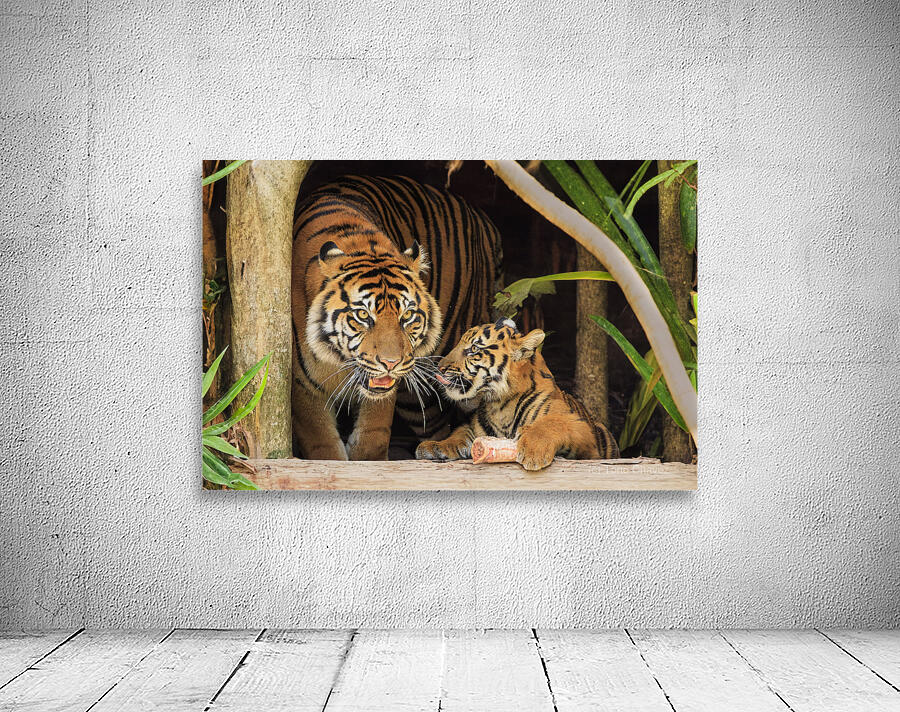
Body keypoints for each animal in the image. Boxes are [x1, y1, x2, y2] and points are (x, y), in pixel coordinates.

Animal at [291, 175, 502, 460]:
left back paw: (446, 447)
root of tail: (482, 218)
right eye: (362, 315)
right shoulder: (303, 389)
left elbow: (372, 438)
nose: (391, 363)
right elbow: (323, 447)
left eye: (408, 315)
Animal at [415, 319, 619, 470]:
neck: (499, 404)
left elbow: (552, 423)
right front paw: (435, 446)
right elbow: (460, 433)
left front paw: (533, 451)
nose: (439, 368)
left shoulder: (582, 431)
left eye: (474, 349)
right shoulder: (476, 428)